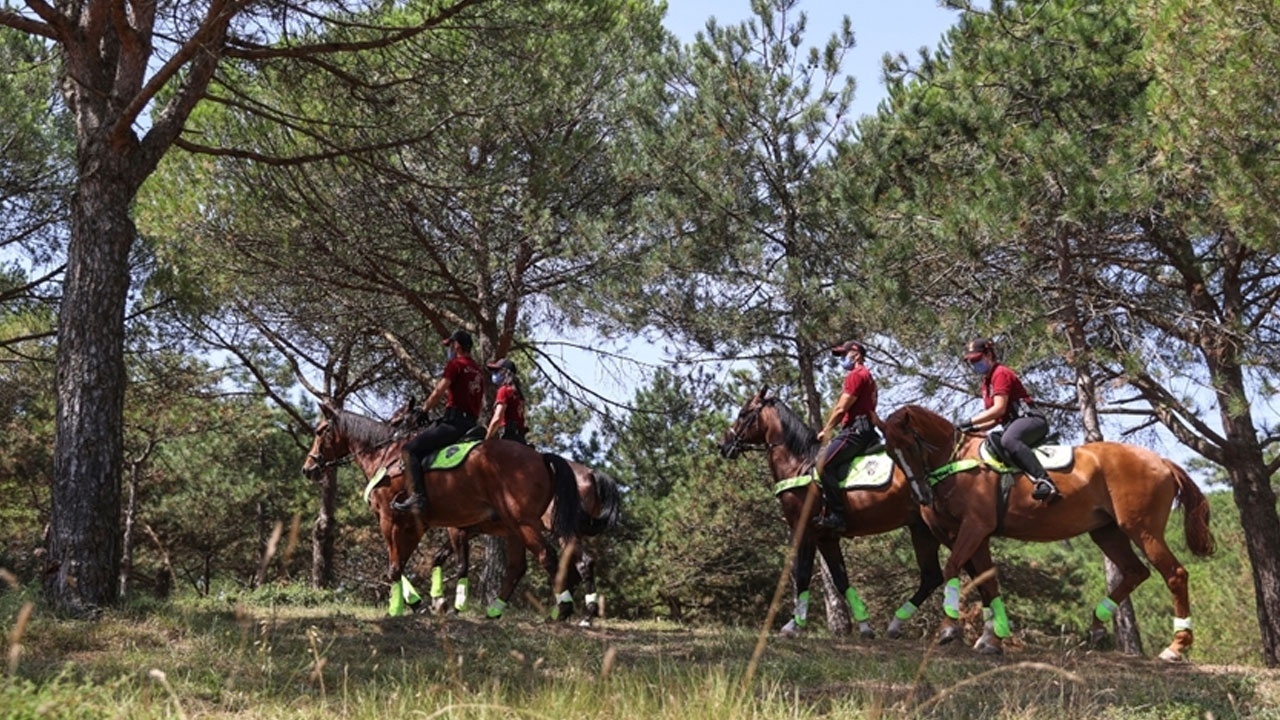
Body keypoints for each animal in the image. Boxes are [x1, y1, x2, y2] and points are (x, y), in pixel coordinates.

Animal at [296, 404, 583, 617]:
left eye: (320, 431)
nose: (308, 468)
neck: (385, 456)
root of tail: (540, 457)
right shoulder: (415, 525)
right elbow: (402, 563)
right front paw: (418, 602)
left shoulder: (389, 520)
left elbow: (395, 565)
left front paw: (399, 606)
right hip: (513, 527)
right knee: (517, 567)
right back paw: (496, 610)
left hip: (523, 522)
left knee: (547, 556)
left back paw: (563, 608)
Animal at [422, 458, 622, 622]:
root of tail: (590, 473)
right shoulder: (472, 530)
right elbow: (438, 557)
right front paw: (438, 601)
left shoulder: (457, 529)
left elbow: (461, 566)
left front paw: (453, 607)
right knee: (573, 567)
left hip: (557, 530)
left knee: (576, 563)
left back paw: (580, 615)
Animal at [716, 386, 1003, 645]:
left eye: (743, 413)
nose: (723, 445)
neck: (800, 464)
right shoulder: (827, 537)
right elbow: (841, 579)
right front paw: (865, 625)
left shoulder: (805, 531)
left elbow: (803, 575)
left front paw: (793, 626)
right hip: (924, 529)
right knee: (938, 575)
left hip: (938, 530)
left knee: (959, 572)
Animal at [875, 399, 1213, 661]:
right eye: (891, 453)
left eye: (912, 445)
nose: (921, 496)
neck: (956, 461)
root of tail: (1163, 461)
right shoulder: (975, 535)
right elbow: (987, 582)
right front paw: (992, 639)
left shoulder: (974, 527)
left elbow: (952, 569)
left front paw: (949, 628)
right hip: (1107, 532)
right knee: (1135, 571)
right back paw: (1098, 624)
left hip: (1142, 529)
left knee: (1174, 574)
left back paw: (1175, 647)